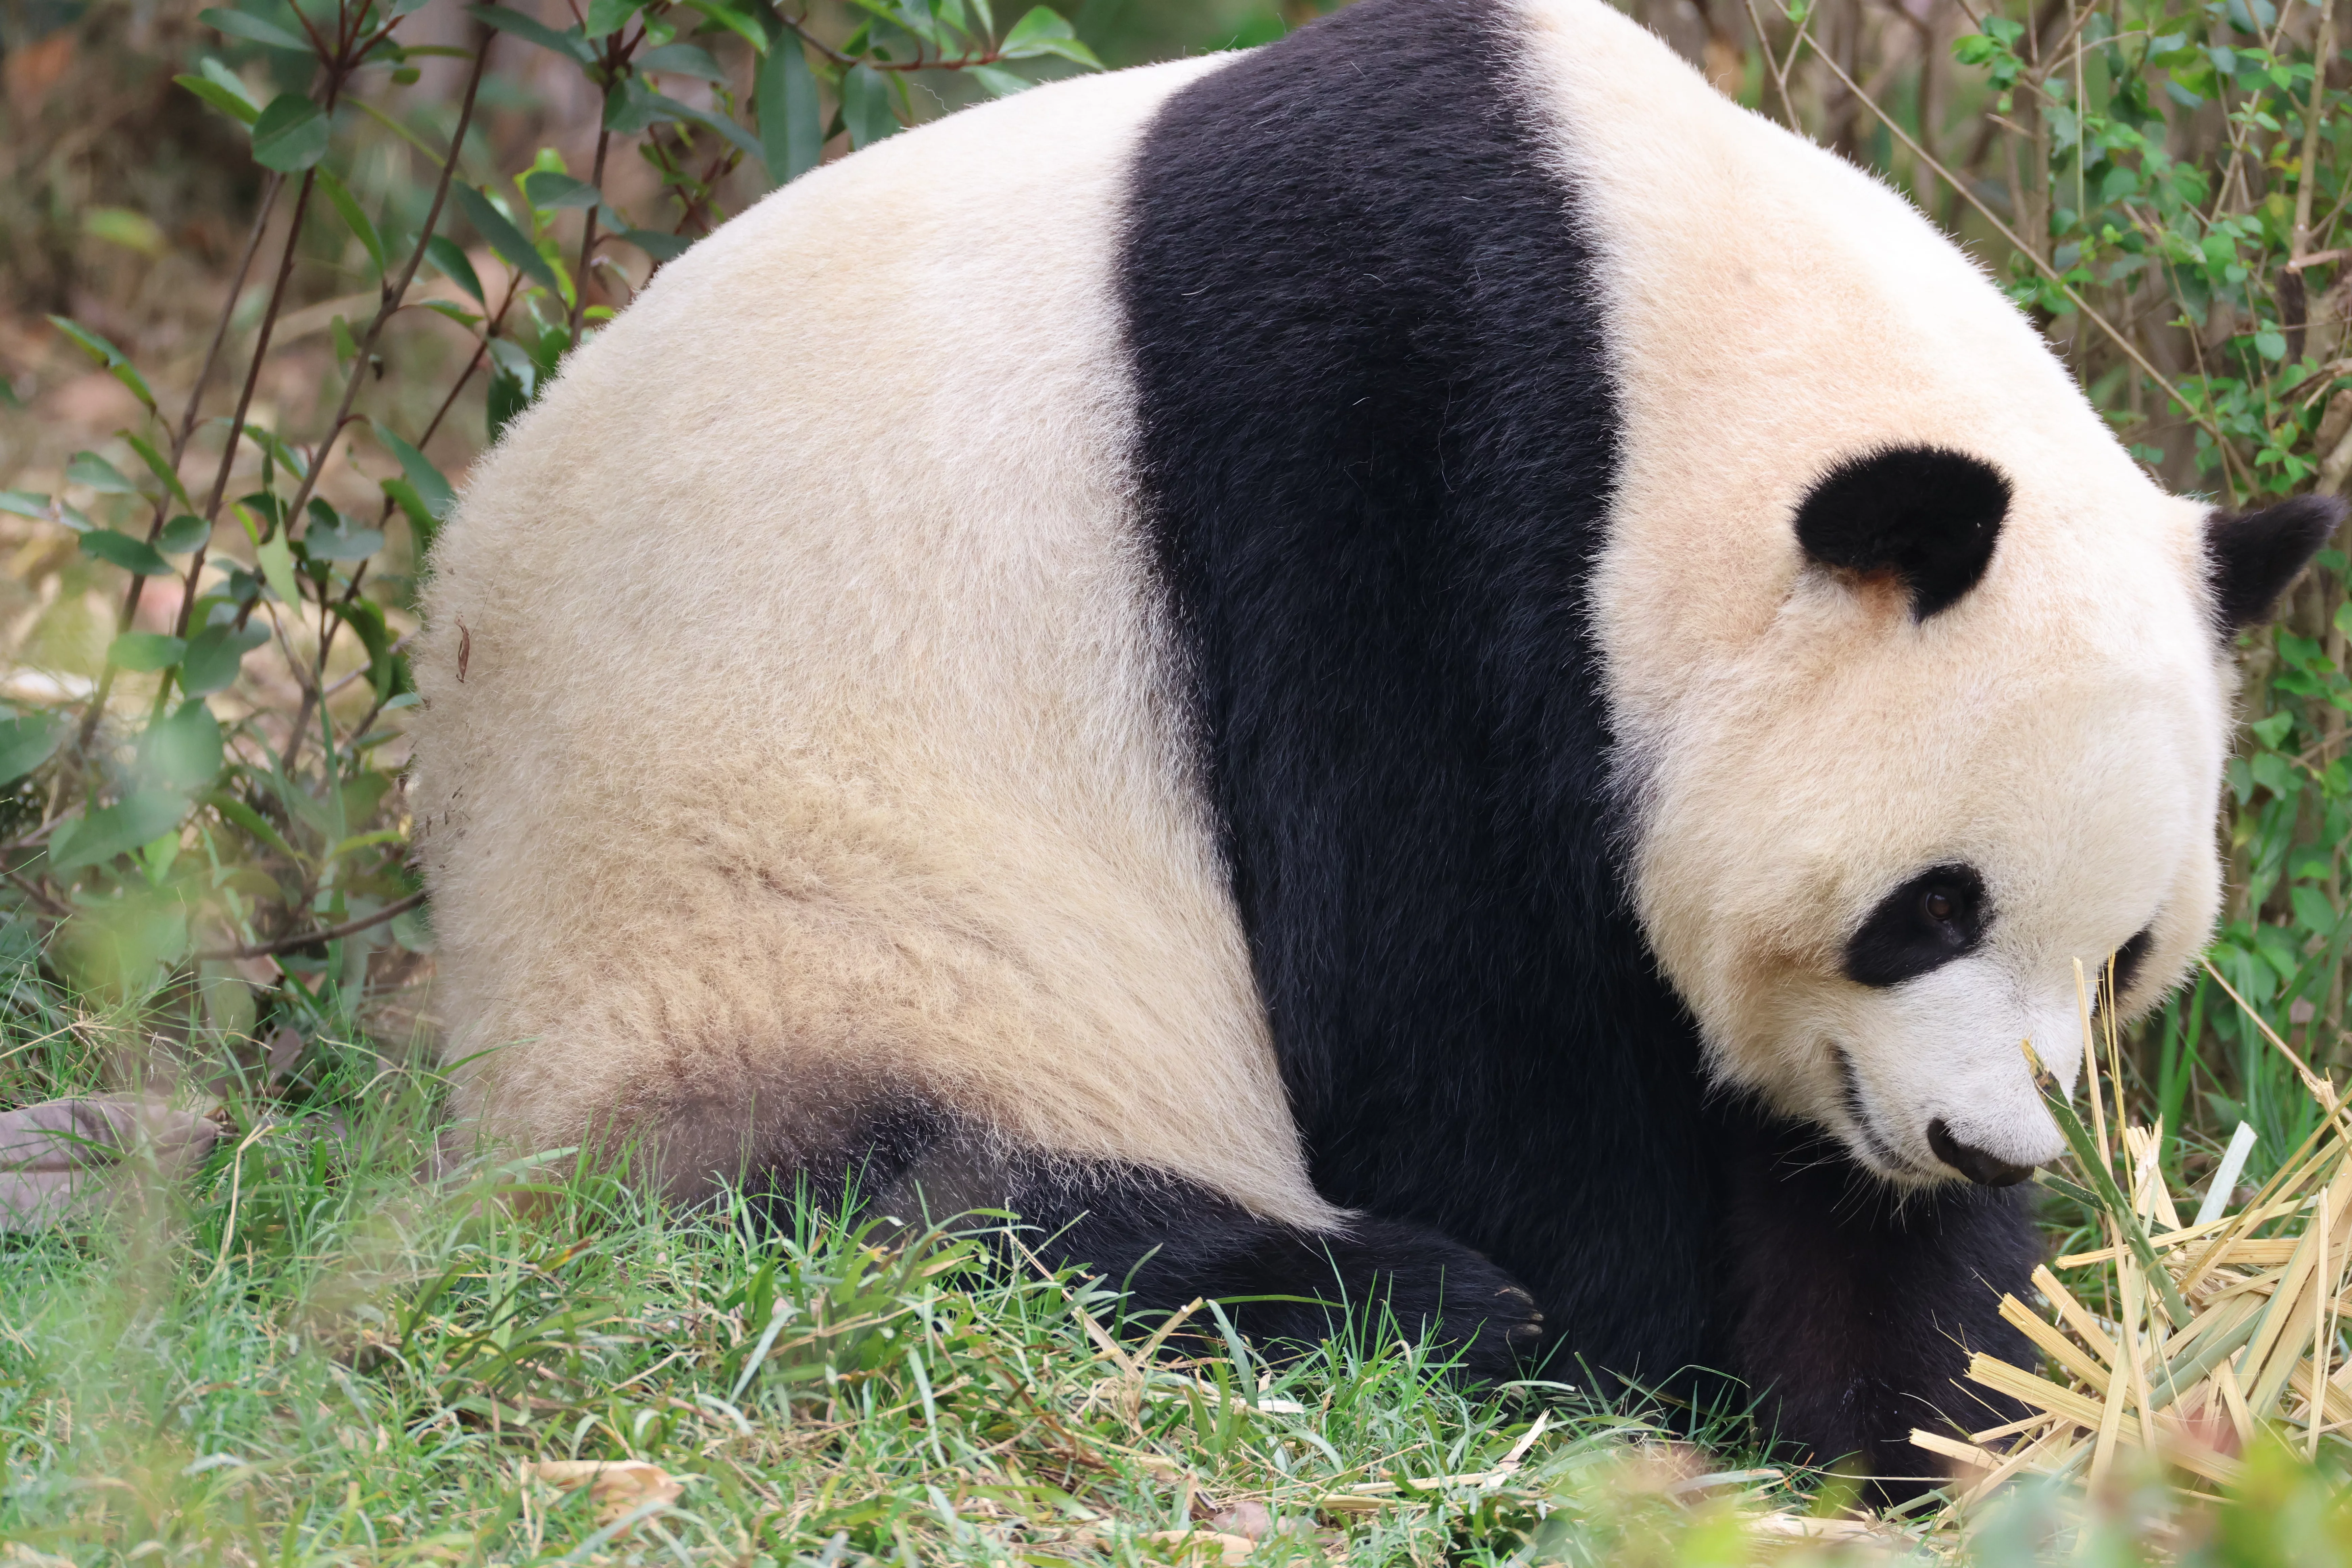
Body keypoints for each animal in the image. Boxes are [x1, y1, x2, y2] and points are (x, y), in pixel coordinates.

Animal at [411, 0, 2343, 1489]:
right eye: (1929, 907)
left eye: (2124, 958)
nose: (1983, 1147)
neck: (1661, 321)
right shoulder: (1383, 463)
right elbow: (1448, 1007)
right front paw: (1625, 1361)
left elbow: (1799, 1165)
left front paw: (1930, 1408)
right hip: (785, 940)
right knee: (943, 1203)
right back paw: (1393, 1299)